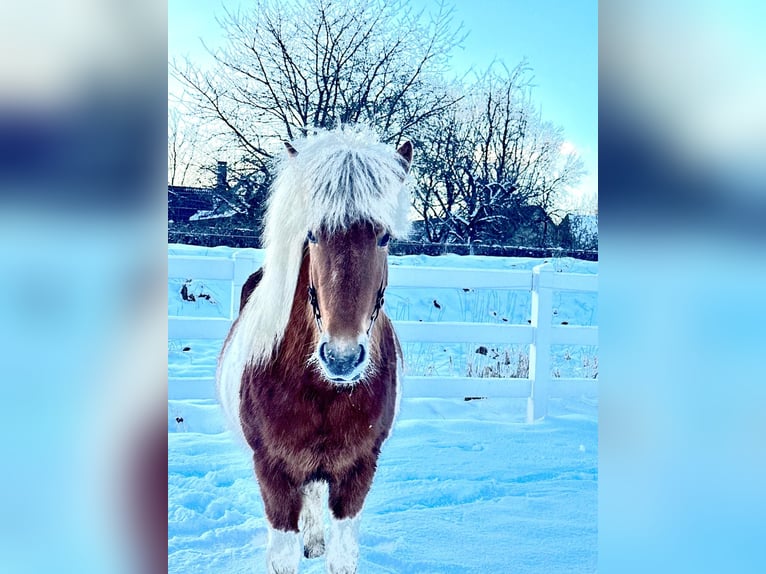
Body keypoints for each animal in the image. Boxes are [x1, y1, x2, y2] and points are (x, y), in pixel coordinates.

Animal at [217, 125, 413, 574]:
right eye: (312, 234)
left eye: (384, 237)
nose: (342, 357)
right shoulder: (273, 472)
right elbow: (283, 556)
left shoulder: (358, 471)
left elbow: (343, 556)